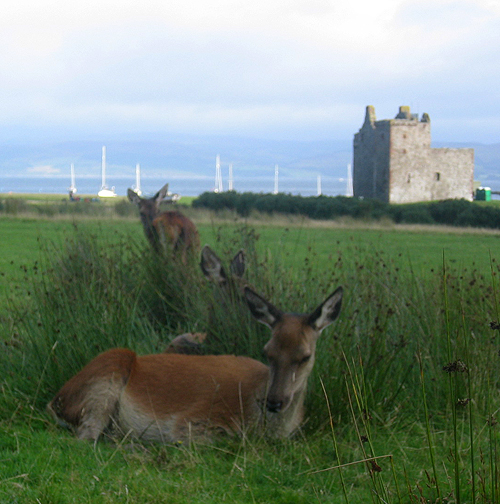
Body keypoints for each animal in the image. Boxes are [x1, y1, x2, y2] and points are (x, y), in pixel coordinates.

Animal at [47, 284, 343, 442]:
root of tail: (55, 401)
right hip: (108, 373)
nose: (274, 402)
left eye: (305, 356)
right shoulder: (192, 420)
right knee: (86, 436)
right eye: (267, 351)